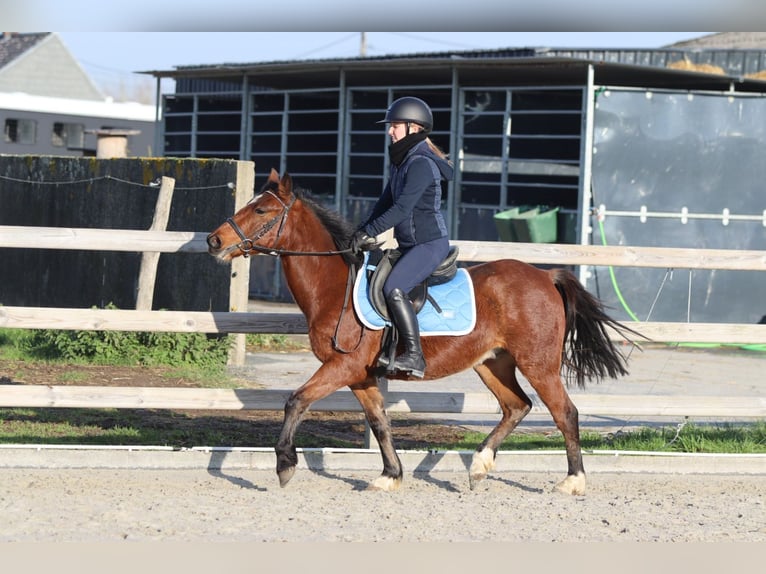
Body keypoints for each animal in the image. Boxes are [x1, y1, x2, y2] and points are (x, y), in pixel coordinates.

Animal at [206, 168, 640, 494]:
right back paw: (479, 467)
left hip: (539, 364)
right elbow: (379, 423)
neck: (334, 287)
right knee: (517, 406)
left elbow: (295, 401)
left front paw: (284, 465)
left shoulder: (342, 367)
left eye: (261, 208)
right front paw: (389, 476)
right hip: (492, 363)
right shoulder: (361, 376)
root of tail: (546, 275)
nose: (214, 240)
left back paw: (572, 481)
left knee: (564, 412)